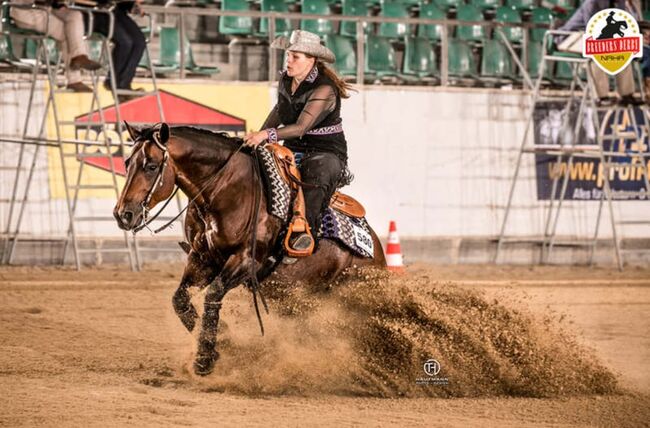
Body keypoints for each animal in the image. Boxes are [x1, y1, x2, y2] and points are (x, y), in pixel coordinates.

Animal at [112, 122, 384, 376]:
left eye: (151, 166)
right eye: (127, 162)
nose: (123, 214)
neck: (227, 190)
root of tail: (376, 250)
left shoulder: (246, 260)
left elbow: (213, 294)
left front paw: (205, 358)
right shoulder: (202, 258)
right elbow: (180, 300)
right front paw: (220, 342)